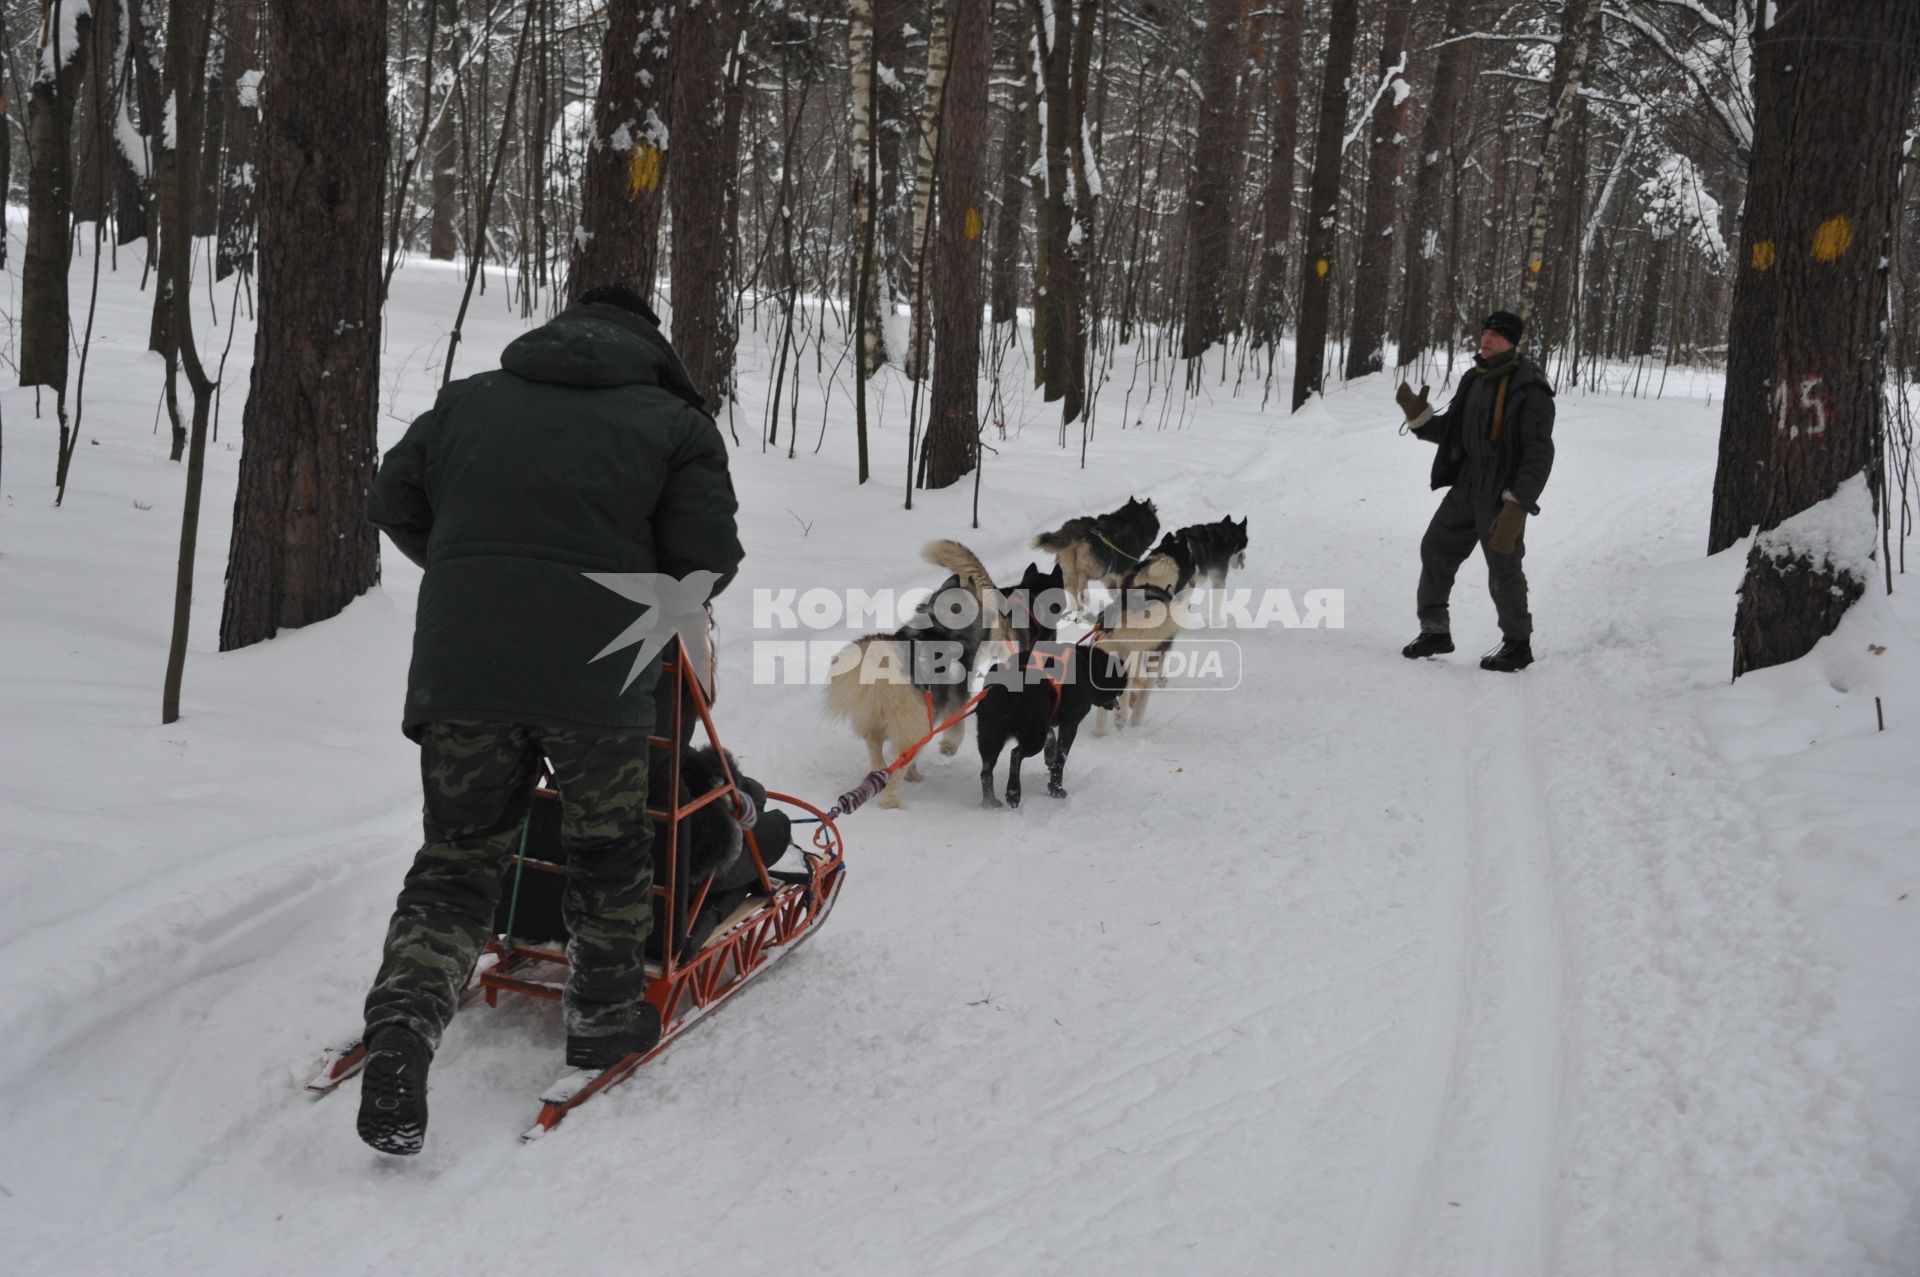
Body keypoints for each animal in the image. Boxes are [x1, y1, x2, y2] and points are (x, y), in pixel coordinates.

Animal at [821, 537, 1006, 806]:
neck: (943, 624)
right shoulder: (955, 699)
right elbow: (957, 729)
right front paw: (948, 748)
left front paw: (915, 773)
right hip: (914, 724)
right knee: (896, 768)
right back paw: (892, 800)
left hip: (879, 723)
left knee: (879, 757)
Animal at [975, 560, 1121, 806]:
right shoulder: (1069, 724)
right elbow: (1059, 759)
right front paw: (1056, 787)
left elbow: (1052, 741)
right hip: (1030, 736)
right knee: (1015, 755)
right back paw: (1013, 792)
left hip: (990, 737)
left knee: (986, 771)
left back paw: (990, 802)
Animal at [1029, 495, 1159, 610]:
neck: (1134, 520)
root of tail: (1077, 527)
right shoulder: (1124, 571)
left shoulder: (1108, 578)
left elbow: (1113, 590)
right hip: (1098, 568)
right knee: (1083, 576)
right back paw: (1085, 596)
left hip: (1070, 568)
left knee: (1071, 589)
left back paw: (1076, 608)